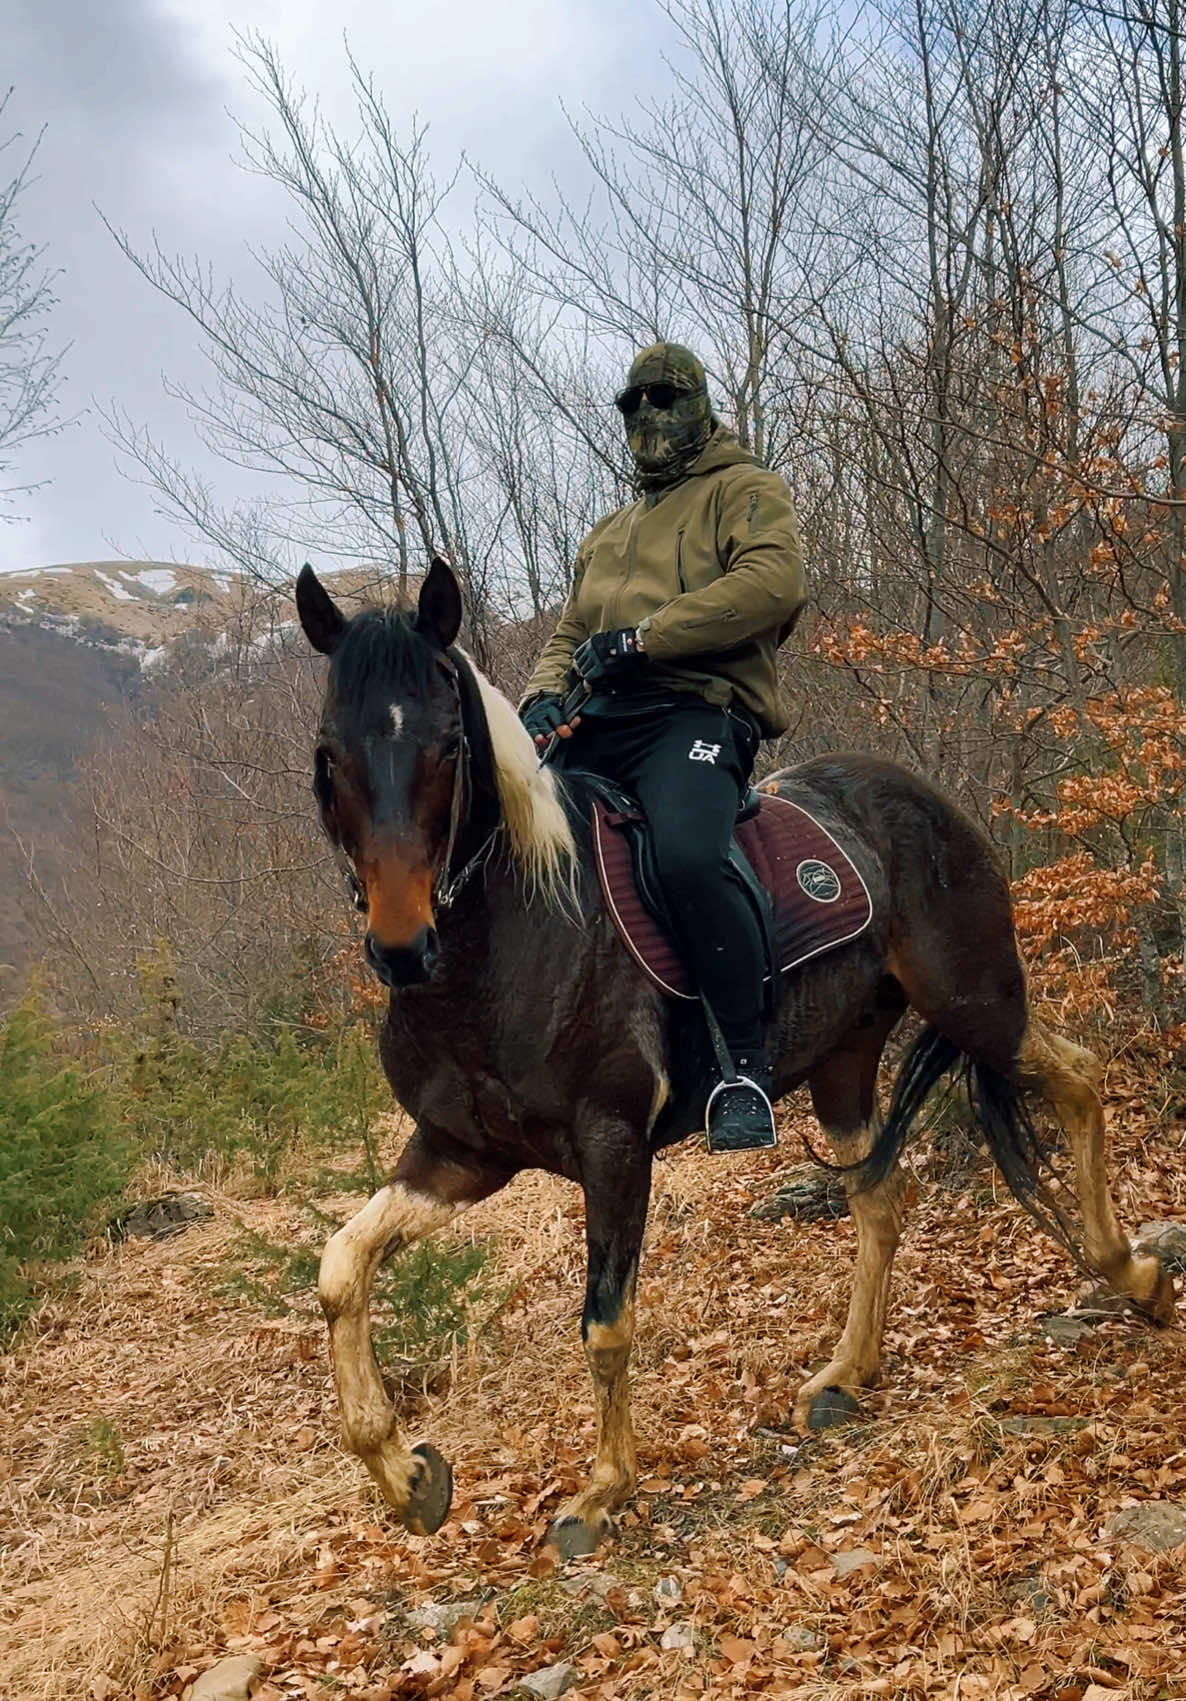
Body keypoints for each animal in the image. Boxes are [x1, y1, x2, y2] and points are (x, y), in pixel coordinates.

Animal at [297, 554, 1177, 1558]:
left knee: (1079, 1080)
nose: (402, 948)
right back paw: (845, 1371)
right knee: (880, 1197)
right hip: (844, 1060)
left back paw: (1137, 1277)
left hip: (977, 1002)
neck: (514, 937)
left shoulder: (614, 1147)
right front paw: (407, 1475)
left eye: (448, 744)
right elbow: (340, 1269)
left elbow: (604, 1322)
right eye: (329, 755)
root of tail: (920, 796)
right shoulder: (459, 1156)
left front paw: (601, 1490)